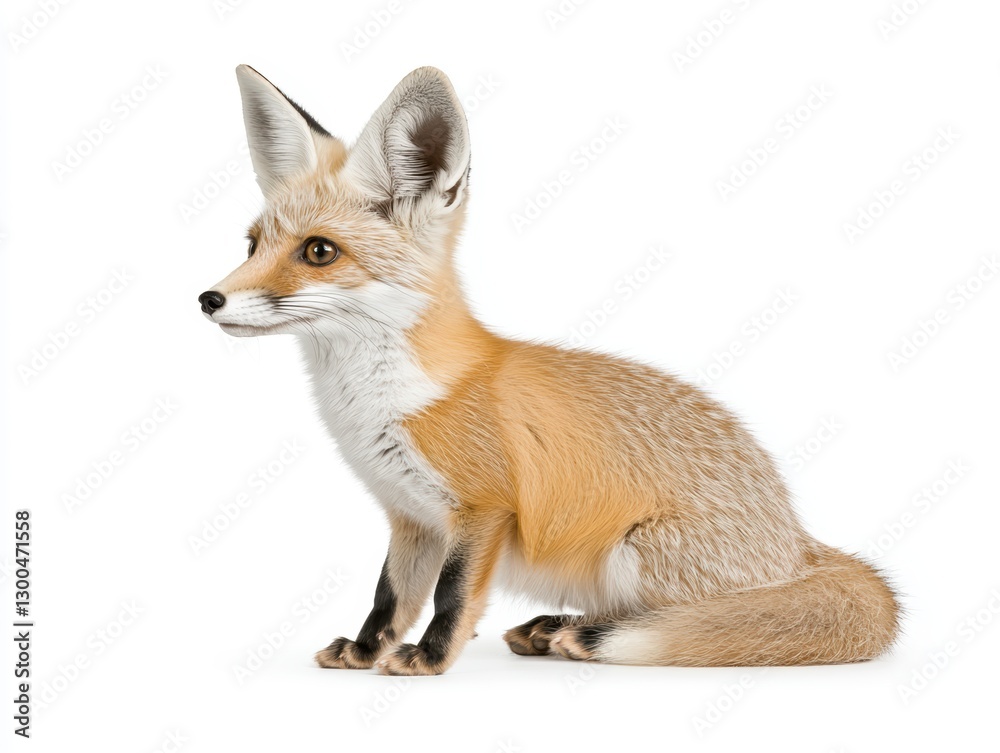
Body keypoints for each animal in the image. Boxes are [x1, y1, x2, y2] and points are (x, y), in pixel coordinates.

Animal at [199, 64, 900, 676]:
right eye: (252, 245)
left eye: (319, 252)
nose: (208, 299)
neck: (382, 403)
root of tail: (796, 538)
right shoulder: (410, 517)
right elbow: (389, 596)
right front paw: (366, 651)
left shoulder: (483, 510)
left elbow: (451, 597)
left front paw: (429, 659)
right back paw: (553, 628)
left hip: (635, 555)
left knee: (705, 626)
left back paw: (588, 635)